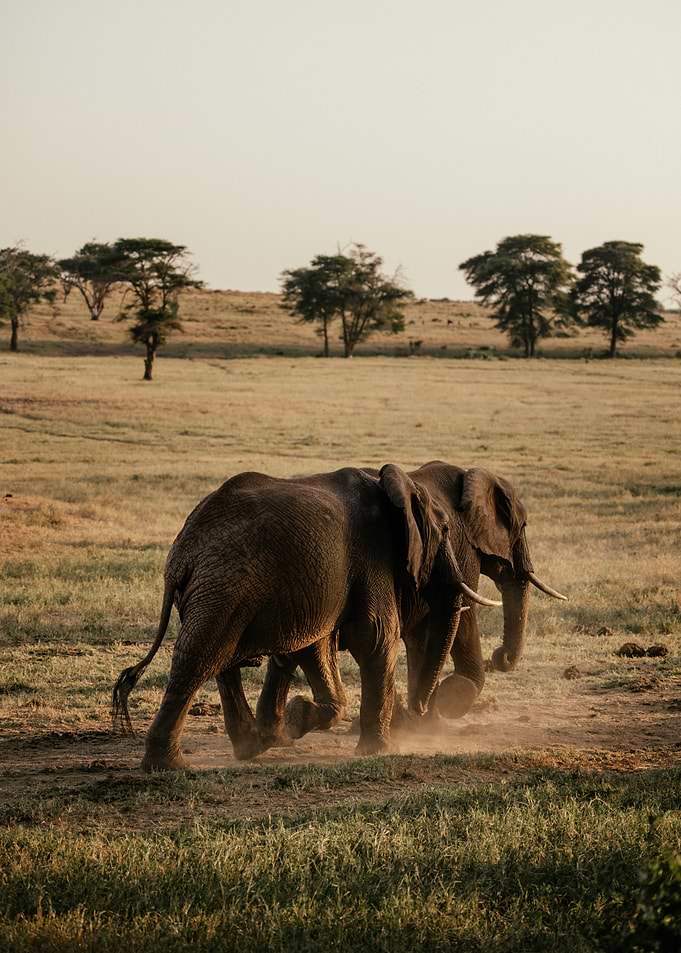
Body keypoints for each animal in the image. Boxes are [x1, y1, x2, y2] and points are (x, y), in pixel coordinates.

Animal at [112, 464, 498, 770]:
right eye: (445, 531)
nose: (424, 707)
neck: (396, 485)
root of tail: (182, 553)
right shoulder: (373, 557)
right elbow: (375, 638)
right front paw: (379, 751)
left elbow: (315, 647)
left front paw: (297, 717)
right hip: (223, 587)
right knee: (200, 659)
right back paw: (171, 766)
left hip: (222, 591)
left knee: (220, 661)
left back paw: (246, 748)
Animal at [236, 461, 567, 750]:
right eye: (523, 526)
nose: (500, 658)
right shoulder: (463, 555)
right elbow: (463, 616)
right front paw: (446, 702)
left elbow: (422, 637)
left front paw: (426, 722)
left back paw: (278, 736)